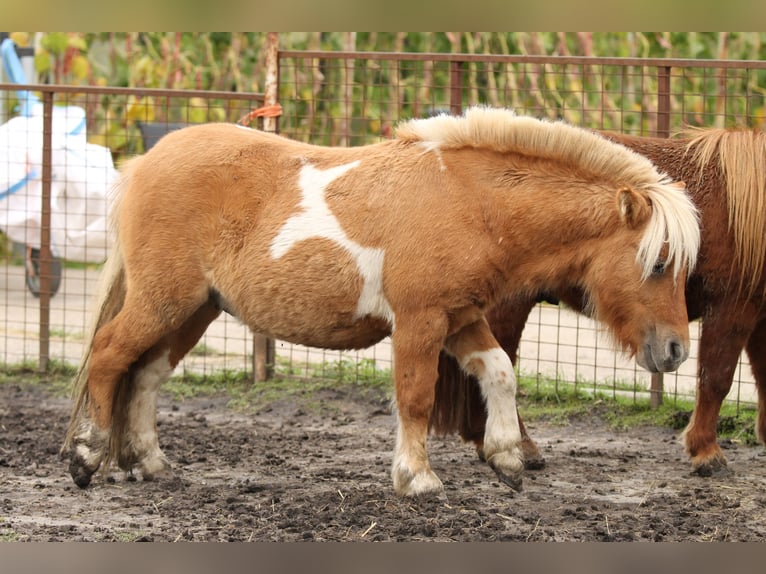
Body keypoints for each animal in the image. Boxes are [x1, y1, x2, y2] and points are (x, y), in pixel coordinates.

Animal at [63, 108, 704, 500]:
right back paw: (87, 457)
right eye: (657, 262)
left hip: (195, 309)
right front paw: (417, 478)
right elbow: (416, 397)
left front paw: (505, 458)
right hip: (163, 300)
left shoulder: (461, 318)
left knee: (145, 374)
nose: (675, 351)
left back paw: (149, 463)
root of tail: (145, 163)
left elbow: (500, 372)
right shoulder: (420, 322)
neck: (468, 202)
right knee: (109, 356)